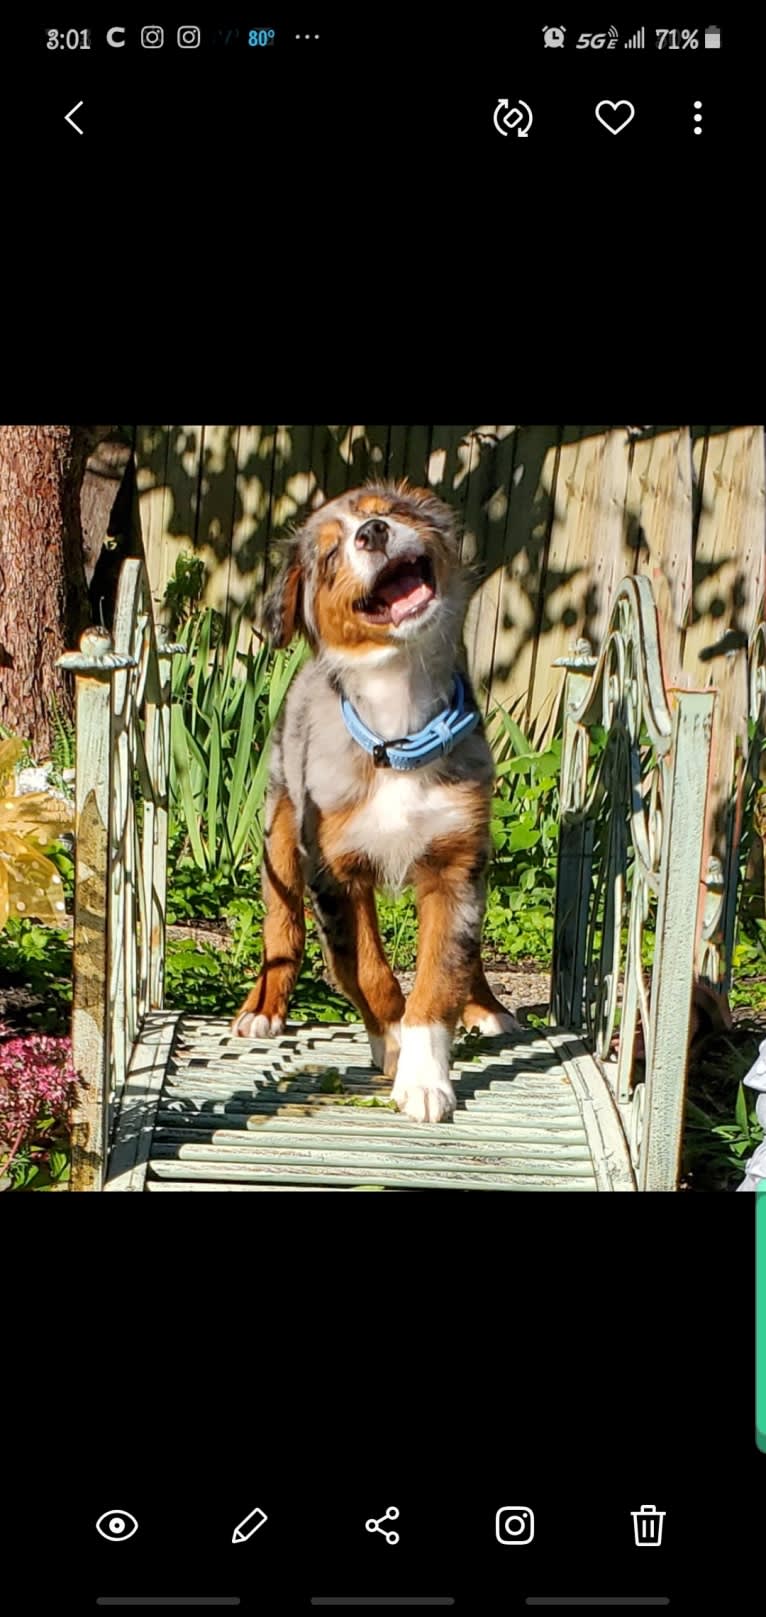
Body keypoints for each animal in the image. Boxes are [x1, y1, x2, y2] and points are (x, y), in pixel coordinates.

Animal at [232, 472, 517, 1118]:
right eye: (329, 554)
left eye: (385, 510)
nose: (374, 533)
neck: (399, 733)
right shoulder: (336, 875)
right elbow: (369, 972)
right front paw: (391, 1048)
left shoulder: (456, 864)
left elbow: (439, 976)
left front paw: (425, 1080)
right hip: (280, 828)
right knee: (281, 928)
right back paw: (263, 1008)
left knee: (469, 954)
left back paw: (488, 1008)